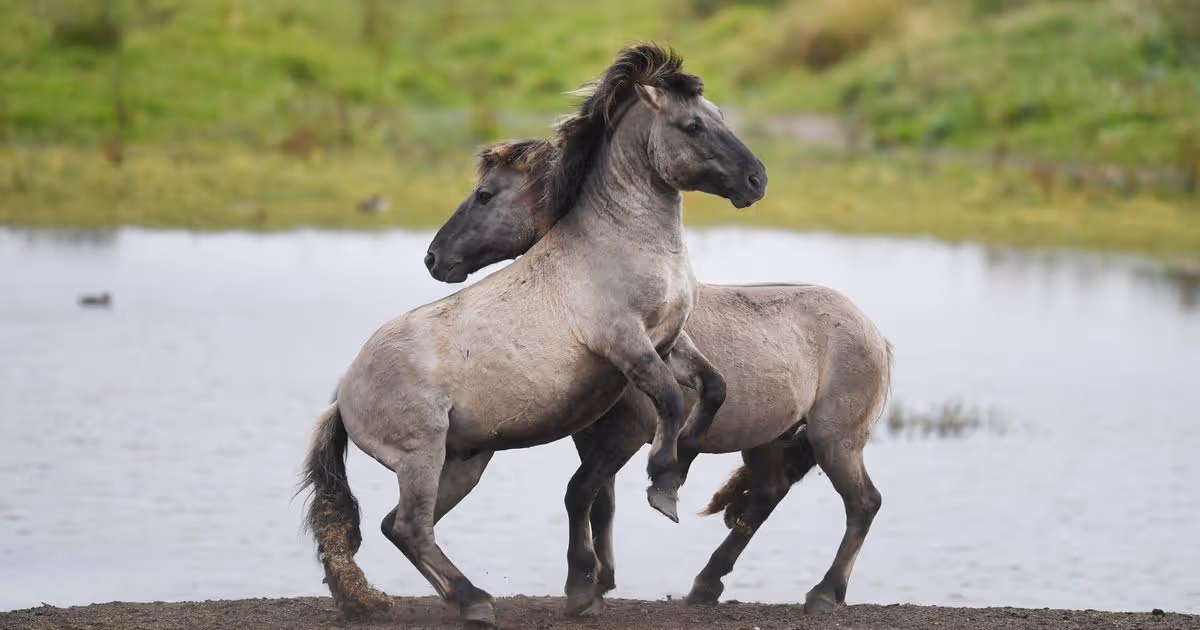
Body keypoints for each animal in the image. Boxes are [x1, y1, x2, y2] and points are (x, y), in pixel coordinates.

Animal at [299, 44, 767, 627]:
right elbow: (669, 404)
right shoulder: (626, 345)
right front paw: (662, 484)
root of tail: (343, 398)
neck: (624, 244)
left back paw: (468, 599)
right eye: (692, 125)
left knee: (398, 526)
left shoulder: (668, 340)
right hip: (421, 456)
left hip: (464, 462)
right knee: (409, 525)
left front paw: (680, 469)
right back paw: (476, 601)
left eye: (719, 116)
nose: (756, 180)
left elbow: (713, 387)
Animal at [425, 137, 891, 616]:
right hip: (766, 440)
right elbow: (600, 502)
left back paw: (823, 593)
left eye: (485, 195)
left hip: (835, 441)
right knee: (766, 495)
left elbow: (583, 492)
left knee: (863, 504)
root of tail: (874, 333)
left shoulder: (630, 432)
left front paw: (588, 586)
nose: (433, 257)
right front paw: (601, 580)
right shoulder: (590, 436)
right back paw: (706, 584)